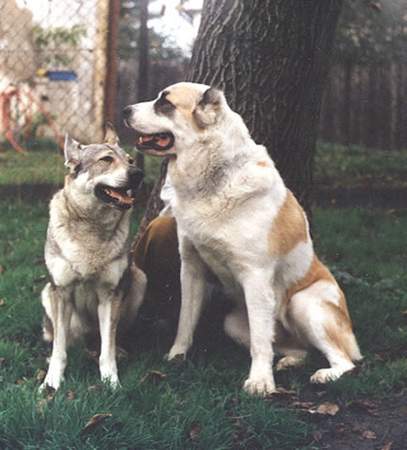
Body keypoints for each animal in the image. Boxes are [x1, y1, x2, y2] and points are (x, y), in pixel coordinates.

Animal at [122, 82, 362, 396]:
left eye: (165, 103)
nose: (125, 110)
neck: (213, 175)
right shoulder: (192, 268)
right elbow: (186, 320)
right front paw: (177, 356)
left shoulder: (256, 277)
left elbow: (260, 342)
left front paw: (260, 382)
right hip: (233, 323)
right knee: (298, 348)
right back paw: (290, 362)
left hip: (303, 304)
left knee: (346, 361)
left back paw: (324, 374)